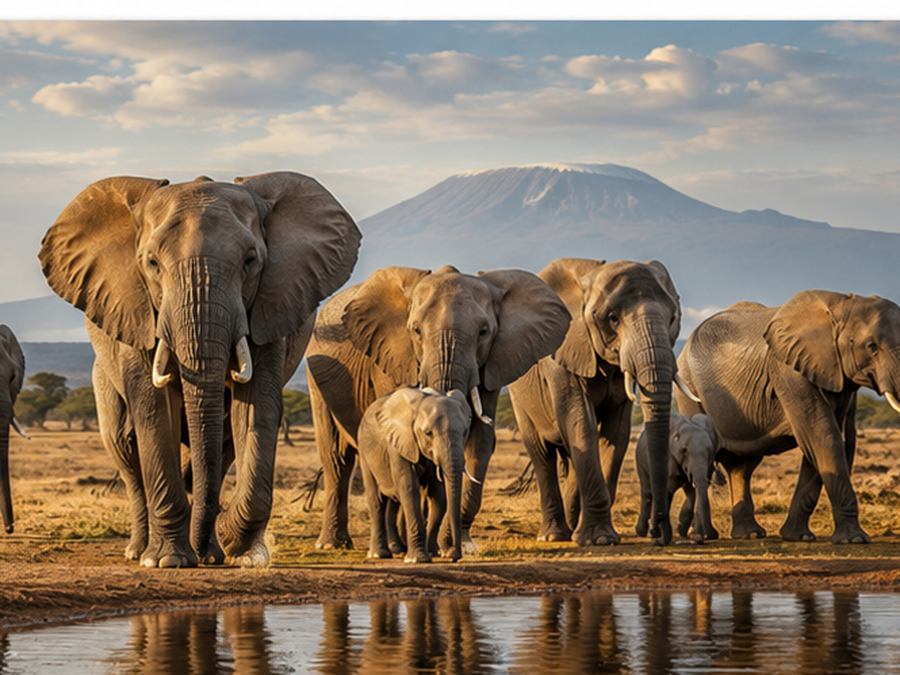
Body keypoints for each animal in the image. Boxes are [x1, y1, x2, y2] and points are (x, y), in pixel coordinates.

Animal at [39, 172, 361, 567]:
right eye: (152, 263)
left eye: (250, 261)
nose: (210, 545)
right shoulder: (138, 312)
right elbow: (154, 411)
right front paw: (166, 561)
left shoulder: (270, 305)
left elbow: (255, 409)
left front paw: (238, 549)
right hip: (103, 373)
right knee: (125, 446)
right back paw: (140, 552)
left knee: (221, 442)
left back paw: (208, 553)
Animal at [358, 386, 473, 562]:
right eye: (428, 433)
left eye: (465, 432)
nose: (453, 555)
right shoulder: (398, 444)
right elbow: (409, 488)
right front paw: (417, 559)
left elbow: (438, 495)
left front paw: (433, 553)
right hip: (364, 452)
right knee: (377, 500)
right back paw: (379, 555)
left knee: (393, 500)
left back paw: (398, 551)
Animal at [508, 258, 695, 546]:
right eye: (612, 319)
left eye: (673, 318)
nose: (658, 533)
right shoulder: (561, 354)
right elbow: (580, 423)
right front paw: (600, 540)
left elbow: (616, 433)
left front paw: (598, 537)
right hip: (519, 398)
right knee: (542, 455)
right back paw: (553, 536)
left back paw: (572, 531)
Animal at [635, 412, 721, 542]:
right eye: (684, 450)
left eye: (710, 452)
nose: (708, 536)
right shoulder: (668, 458)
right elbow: (668, 489)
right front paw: (659, 534)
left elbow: (697, 488)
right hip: (641, 461)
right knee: (647, 491)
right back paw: (642, 532)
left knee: (690, 491)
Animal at [675, 290, 900, 543]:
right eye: (871, 346)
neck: (841, 302)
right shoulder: (790, 373)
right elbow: (824, 437)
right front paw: (854, 540)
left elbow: (829, 442)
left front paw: (797, 537)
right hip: (689, 390)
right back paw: (704, 535)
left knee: (742, 465)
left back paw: (749, 534)